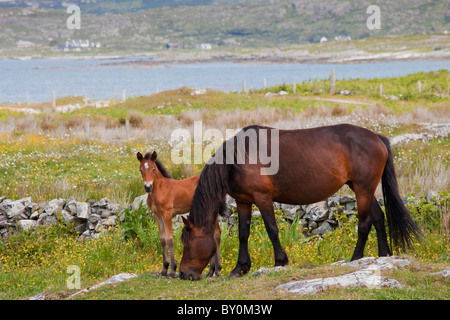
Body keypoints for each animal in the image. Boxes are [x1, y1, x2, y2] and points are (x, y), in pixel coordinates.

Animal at [178, 124, 422, 278]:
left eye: (187, 243)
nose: (183, 273)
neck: (239, 157)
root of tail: (377, 137)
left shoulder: (262, 198)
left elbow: (272, 229)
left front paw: (280, 261)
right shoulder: (243, 200)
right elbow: (243, 233)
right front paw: (240, 268)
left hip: (363, 189)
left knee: (365, 223)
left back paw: (355, 258)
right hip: (363, 189)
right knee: (379, 218)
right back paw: (383, 255)